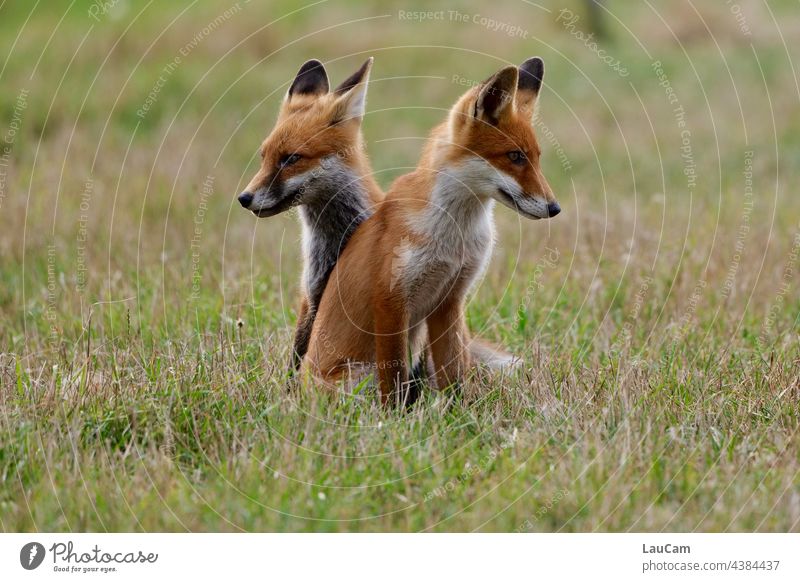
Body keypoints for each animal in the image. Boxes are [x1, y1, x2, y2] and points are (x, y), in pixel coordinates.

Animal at [236, 58, 380, 370]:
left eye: (291, 158)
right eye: (263, 156)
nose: (243, 198)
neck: (334, 243)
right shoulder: (312, 294)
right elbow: (298, 356)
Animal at [306, 59, 564, 406]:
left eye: (536, 158)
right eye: (515, 156)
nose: (555, 208)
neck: (455, 237)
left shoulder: (450, 298)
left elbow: (454, 372)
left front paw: (460, 411)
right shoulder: (390, 299)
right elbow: (394, 380)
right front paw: (394, 416)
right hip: (358, 376)